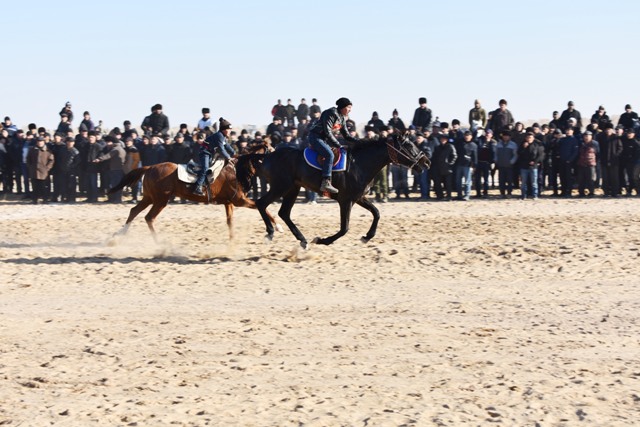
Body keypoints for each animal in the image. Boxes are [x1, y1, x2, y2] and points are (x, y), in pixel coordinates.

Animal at [109, 154, 278, 242]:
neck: (234, 170)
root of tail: (149, 167)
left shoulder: (229, 203)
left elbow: (230, 221)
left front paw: (232, 240)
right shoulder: (239, 200)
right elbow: (259, 205)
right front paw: (277, 227)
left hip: (149, 198)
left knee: (134, 211)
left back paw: (120, 234)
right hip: (160, 200)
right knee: (148, 217)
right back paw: (158, 242)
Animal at [238, 132, 432, 249]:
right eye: (409, 145)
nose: (427, 162)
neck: (360, 163)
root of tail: (267, 155)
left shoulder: (358, 197)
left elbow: (376, 213)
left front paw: (367, 236)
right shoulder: (345, 200)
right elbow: (344, 228)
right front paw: (323, 240)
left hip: (293, 188)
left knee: (284, 212)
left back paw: (302, 240)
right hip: (281, 186)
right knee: (261, 203)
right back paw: (271, 232)